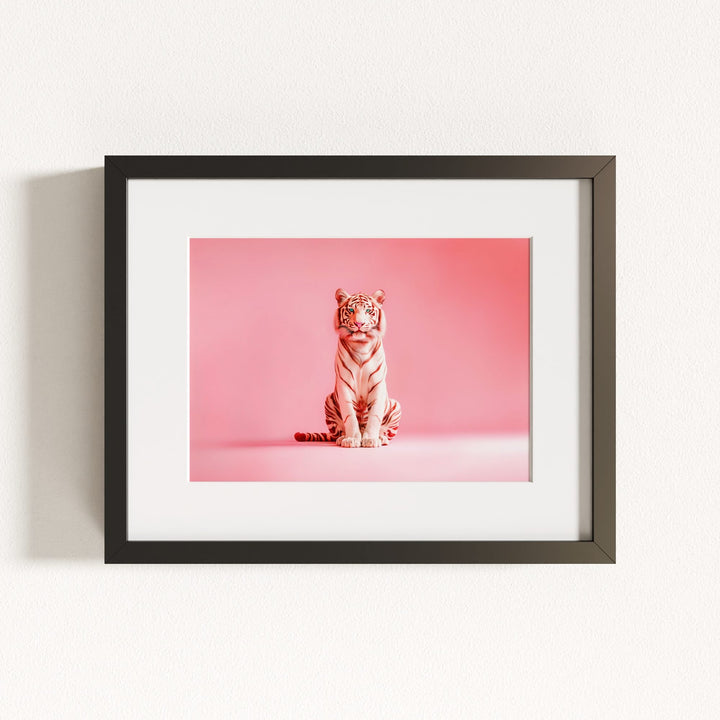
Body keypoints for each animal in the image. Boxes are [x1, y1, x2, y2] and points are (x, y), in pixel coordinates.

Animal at [294, 288, 401, 447]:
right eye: (351, 310)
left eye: (368, 310)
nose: (359, 323)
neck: (361, 345)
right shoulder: (344, 383)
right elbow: (349, 416)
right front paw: (351, 439)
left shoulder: (377, 384)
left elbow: (375, 415)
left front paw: (371, 439)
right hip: (329, 401)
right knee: (337, 432)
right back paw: (342, 438)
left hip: (395, 404)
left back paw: (381, 438)